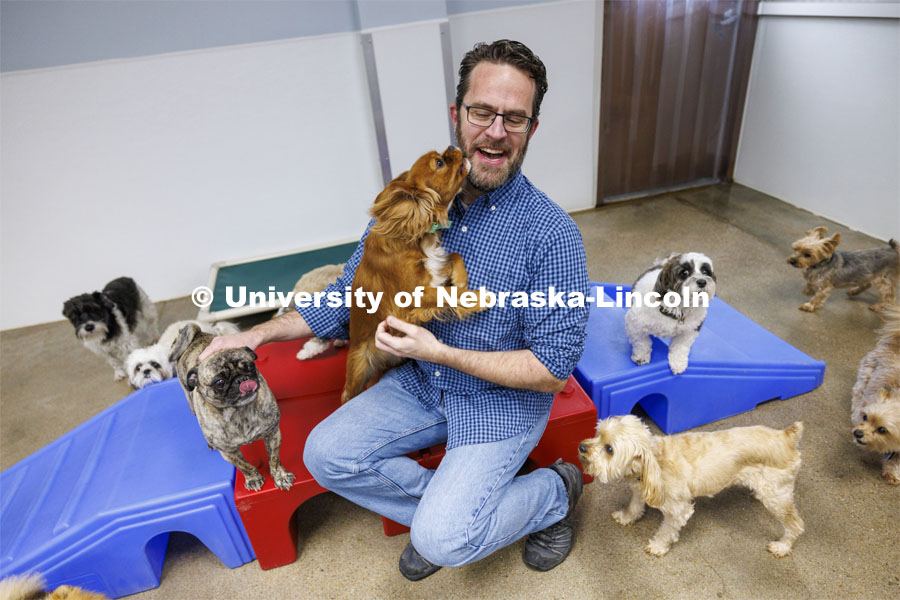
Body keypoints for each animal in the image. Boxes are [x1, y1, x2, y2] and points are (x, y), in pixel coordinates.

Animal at [580, 414, 804, 556]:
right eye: (598, 433)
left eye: (609, 449)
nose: (581, 447)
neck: (655, 462)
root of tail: (785, 436)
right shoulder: (639, 491)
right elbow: (634, 507)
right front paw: (626, 518)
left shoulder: (679, 510)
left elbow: (667, 531)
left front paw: (658, 546)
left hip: (777, 499)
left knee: (796, 525)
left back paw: (783, 547)